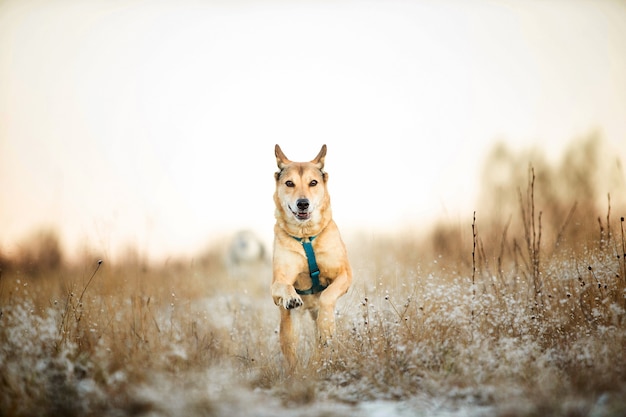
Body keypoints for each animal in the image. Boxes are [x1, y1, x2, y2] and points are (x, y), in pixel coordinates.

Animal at [270, 145, 354, 368]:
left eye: (313, 183)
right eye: (289, 183)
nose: (302, 203)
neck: (305, 236)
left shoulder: (345, 274)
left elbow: (327, 295)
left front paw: (327, 326)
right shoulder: (276, 284)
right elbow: (283, 286)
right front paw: (291, 297)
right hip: (290, 327)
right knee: (292, 353)